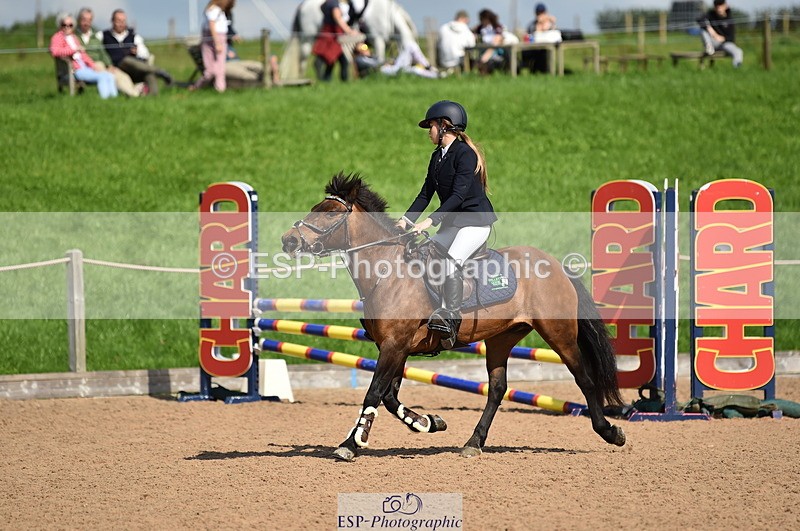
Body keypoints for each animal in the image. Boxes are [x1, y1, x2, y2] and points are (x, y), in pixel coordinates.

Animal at [281, 174, 626, 461]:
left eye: (329, 213)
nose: (289, 241)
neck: (387, 274)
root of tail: (555, 264)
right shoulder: (396, 347)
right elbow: (391, 397)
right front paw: (429, 422)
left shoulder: (394, 345)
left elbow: (375, 393)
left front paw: (351, 444)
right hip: (501, 338)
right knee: (497, 389)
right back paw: (474, 443)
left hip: (558, 332)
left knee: (584, 377)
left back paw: (610, 432)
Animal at [285, 0, 418, 75]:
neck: (388, 16)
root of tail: (302, 6)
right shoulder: (377, 39)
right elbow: (379, 59)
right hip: (308, 38)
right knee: (303, 60)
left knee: (318, 63)